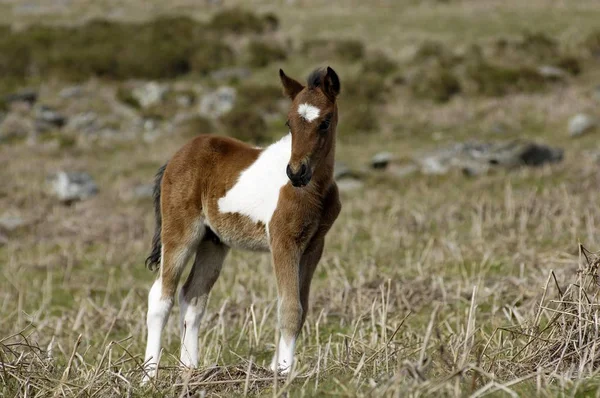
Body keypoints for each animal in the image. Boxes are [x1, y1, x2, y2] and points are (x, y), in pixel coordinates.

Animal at [141, 67, 344, 380]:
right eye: (288, 122)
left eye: (325, 122)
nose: (295, 172)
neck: (314, 189)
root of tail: (177, 156)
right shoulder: (283, 242)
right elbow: (290, 308)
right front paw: (283, 374)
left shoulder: (314, 245)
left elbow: (302, 306)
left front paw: (275, 368)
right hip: (180, 233)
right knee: (161, 297)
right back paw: (148, 376)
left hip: (213, 242)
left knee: (192, 297)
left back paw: (190, 370)